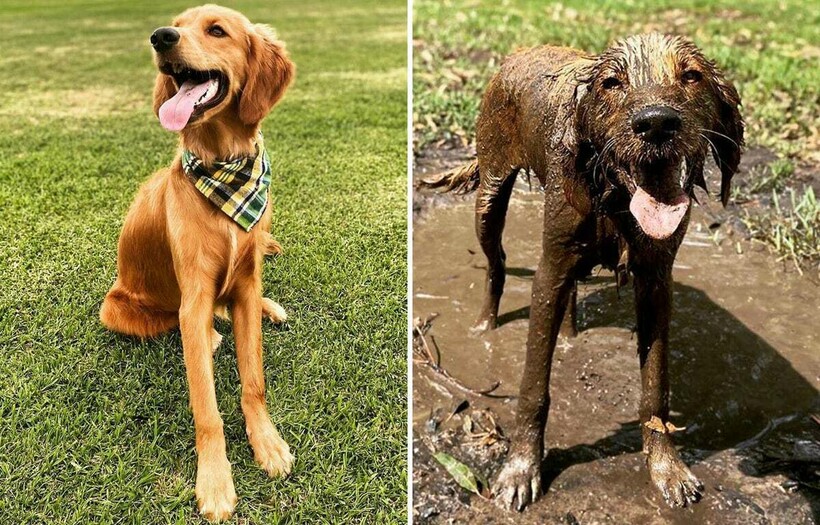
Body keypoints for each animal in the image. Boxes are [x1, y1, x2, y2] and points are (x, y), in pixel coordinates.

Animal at [100, 4, 294, 520]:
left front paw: (267, 441)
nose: (160, 37)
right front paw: (215, 481)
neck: (224, 166)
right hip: (117, 308)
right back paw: (209, 336)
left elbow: (254, 381)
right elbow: (207, 409)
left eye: (217, 30)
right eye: (177, 24)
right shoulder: (195, 295)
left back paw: (269, 309)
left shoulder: (244, 283)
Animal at [420, 32, 748, 508]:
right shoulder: (549, 269)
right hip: (490, 194)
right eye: (612, 83)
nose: (656, 123)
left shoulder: (655, 281)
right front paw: (520, 470)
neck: (611, 193)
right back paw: (484, 325)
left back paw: (570, 334)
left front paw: (666, 468)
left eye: (691, 76)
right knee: (496, 263)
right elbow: (533, 388)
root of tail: (521, 52)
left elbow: (655, 391)